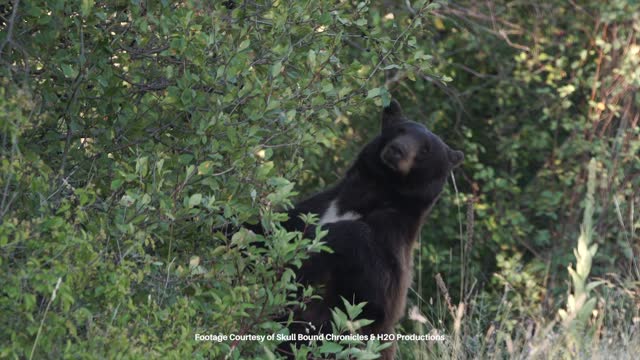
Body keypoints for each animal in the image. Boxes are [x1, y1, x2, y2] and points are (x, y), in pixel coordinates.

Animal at [276, 100, 464, 358]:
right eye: (400, 131)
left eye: (425, 150)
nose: (397, 150)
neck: (372, 192)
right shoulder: (318, 205)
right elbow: (279, 221)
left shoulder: (393, 236)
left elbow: (377, 295)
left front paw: (324, 237)